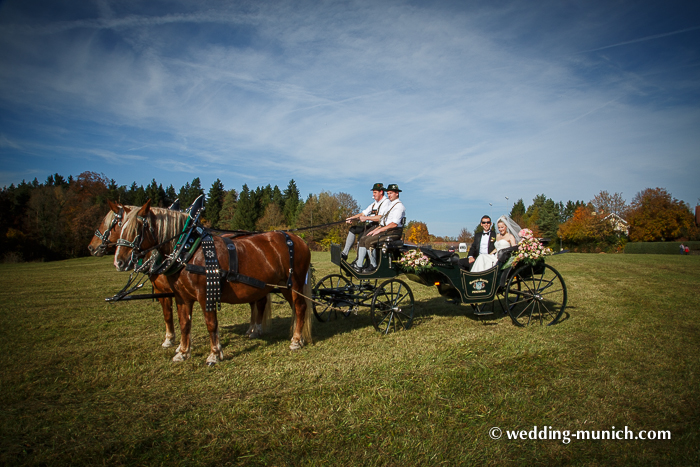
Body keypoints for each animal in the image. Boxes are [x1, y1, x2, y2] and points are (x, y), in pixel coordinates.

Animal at [115, 199, 312, 364]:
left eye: (136, 229)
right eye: (120, 227)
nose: (119, 261)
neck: (188, 250)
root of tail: (298, 239)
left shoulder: (206, 294)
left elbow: (211, 324)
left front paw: (214, 354)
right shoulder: (181, 297)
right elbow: (184, 323)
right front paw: (183, 352)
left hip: (295, 282)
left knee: (300, 307)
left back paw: (296, 341)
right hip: (284, 285)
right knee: (295, 308)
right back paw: (298, 336)